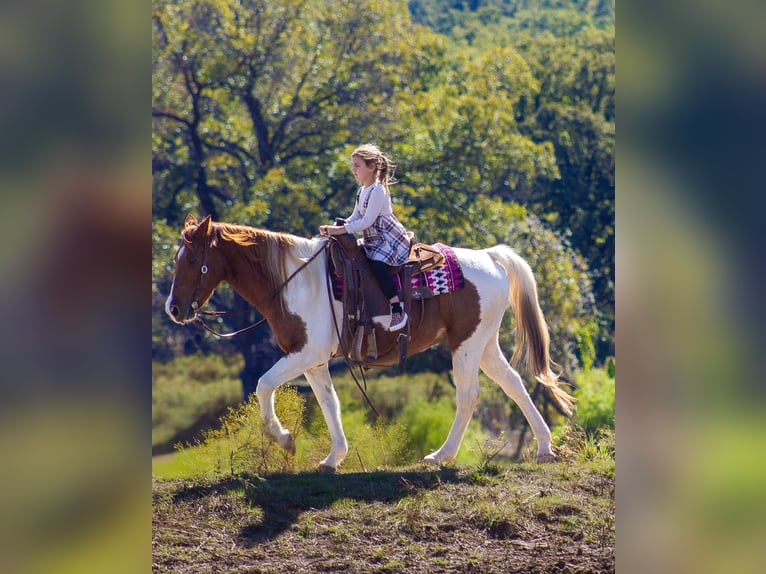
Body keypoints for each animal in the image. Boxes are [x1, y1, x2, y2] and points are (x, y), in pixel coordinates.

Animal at [165, 214, 574, 470]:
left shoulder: (304, 353)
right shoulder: (313, 360)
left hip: (467, 345)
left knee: (469, 395)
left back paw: (442, 455)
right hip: (484, 344)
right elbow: (329, 403)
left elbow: (264, 385)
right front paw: (333, 458)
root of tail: (490, 256)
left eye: (192, 260)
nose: (174, 309)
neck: (294, 281)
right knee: (515, 384)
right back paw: (543, 447)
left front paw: (284, 439)